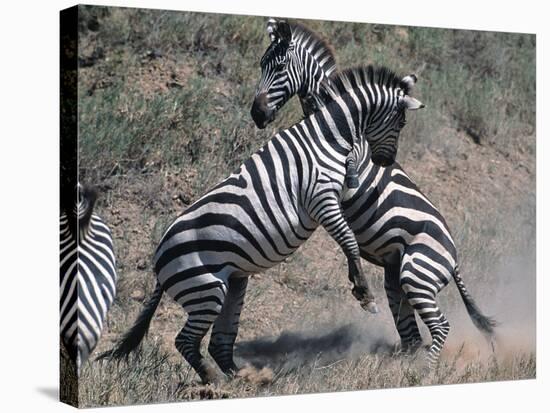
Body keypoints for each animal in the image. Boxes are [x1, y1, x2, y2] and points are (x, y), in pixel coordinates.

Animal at [101, 64, 424, 384]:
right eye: (402, 122)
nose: (386, 161)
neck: (327, 135)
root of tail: (158, 260)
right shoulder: (320, 198)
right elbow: (349, 240)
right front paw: (364, 293)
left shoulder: (334, 194)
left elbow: (351, 219)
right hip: (206, 289)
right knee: (185, 341)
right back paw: (215, 381)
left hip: (231, 283)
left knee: (218, 342)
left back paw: (243, 376)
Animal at [250, 20, 496, 366]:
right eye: (261, 64)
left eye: (281, 67)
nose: (257, 114)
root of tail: (455, 257)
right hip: (397, 277)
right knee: (410, 333)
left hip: (418, 274)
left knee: (438, 325)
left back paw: (422, 372)